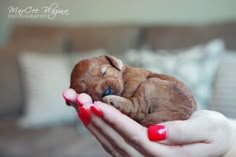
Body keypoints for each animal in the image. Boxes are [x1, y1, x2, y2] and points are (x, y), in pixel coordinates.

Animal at [67, 54, 197, 127]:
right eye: (86, 91)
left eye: (104, 72)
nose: (106, 91)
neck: (124, 74)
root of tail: (182, 114)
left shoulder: (135, 78)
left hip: (151, 84)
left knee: (138, 109)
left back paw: (112, 100)